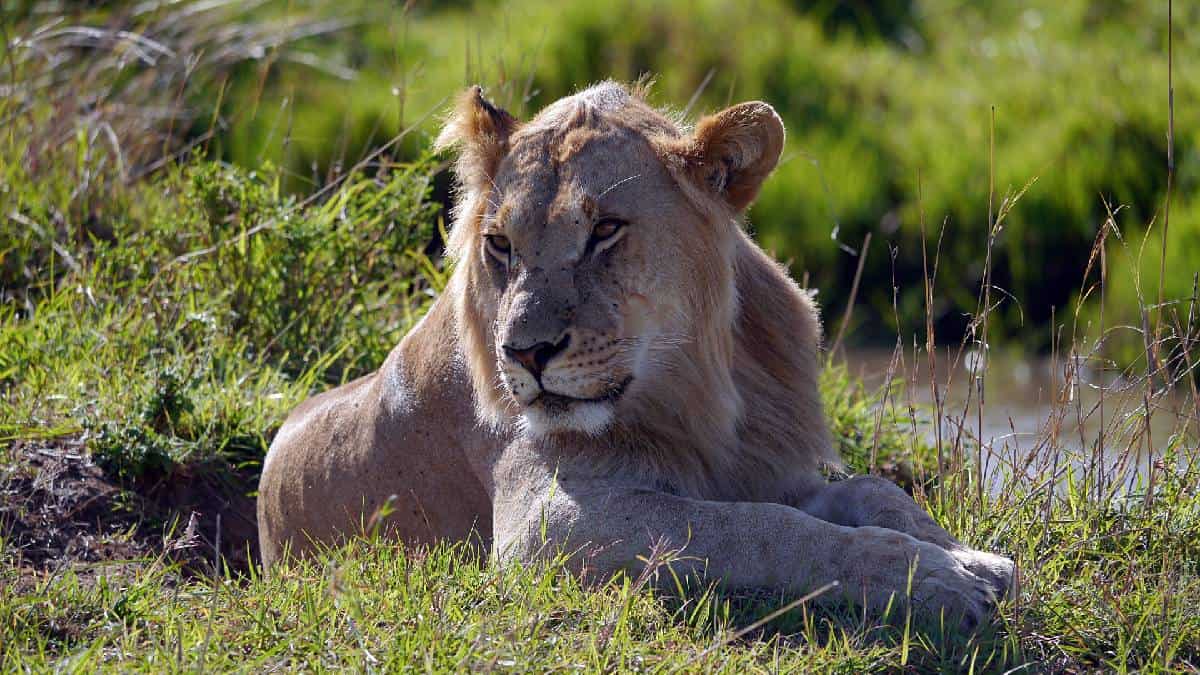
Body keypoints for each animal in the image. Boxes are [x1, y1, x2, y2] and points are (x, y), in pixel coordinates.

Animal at [257, 81, 1015, 626]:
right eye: (500, 244)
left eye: (606, 232)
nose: (524, 352)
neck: (697, 390)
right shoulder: (545, 525)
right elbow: (761, 529)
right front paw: (934, 578)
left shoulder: (767, 464)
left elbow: (874, 490)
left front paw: (970, 557)